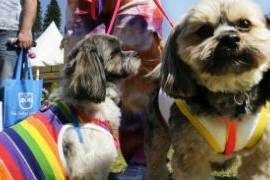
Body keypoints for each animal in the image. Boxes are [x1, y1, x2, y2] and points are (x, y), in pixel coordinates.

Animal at [146, 0, 270, 179]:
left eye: (244, 24)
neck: (229, 93)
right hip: (157, 131)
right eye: (203, 30)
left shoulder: (260, 155)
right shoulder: (191, 156)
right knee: (155, 159)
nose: (229, 38)